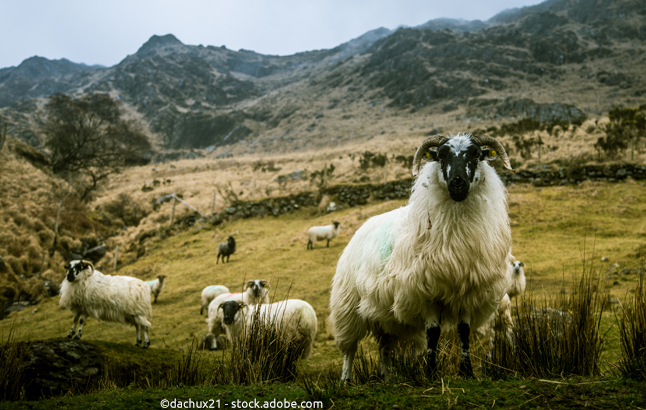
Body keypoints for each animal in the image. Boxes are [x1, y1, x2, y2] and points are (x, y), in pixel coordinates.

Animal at [328, 133, 513, 381]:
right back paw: (346, 379)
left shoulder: (467, 290)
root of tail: (364, 226)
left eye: (476, 155)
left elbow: (463, 332)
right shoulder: (425, 291)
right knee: (350, 348)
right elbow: (433, 334)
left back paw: (386, 378)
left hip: (386, 315)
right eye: (441, 156)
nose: (457, 183)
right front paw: (431, 373)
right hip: (348, 306)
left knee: (384, 347)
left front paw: (466, 372)